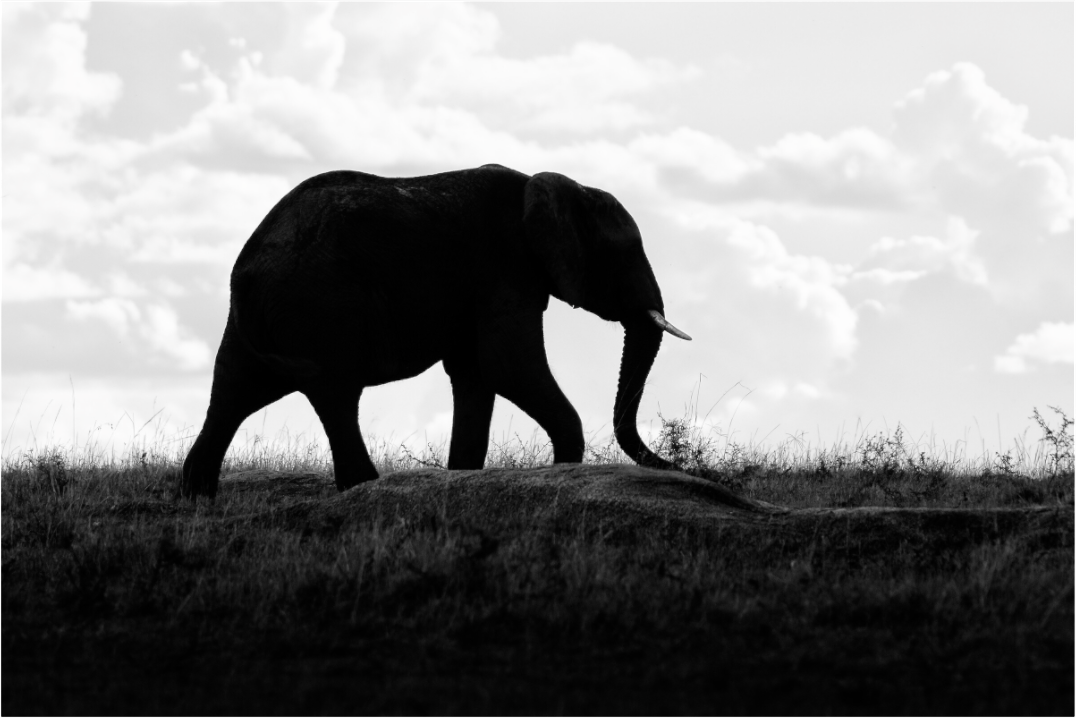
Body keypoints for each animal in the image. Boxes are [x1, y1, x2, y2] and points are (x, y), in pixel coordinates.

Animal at [180, 164, 690, 498]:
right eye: (625, 253)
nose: (683, 465)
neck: (556, 186)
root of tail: (246, 268)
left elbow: (476, 375)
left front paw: (462, 476)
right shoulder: (505, 266)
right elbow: (509, 366)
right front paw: (562, 472)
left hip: (263, 320)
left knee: (231, 391)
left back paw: (198, 496)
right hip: (322, 308)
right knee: (335, 393)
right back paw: (364, 488)